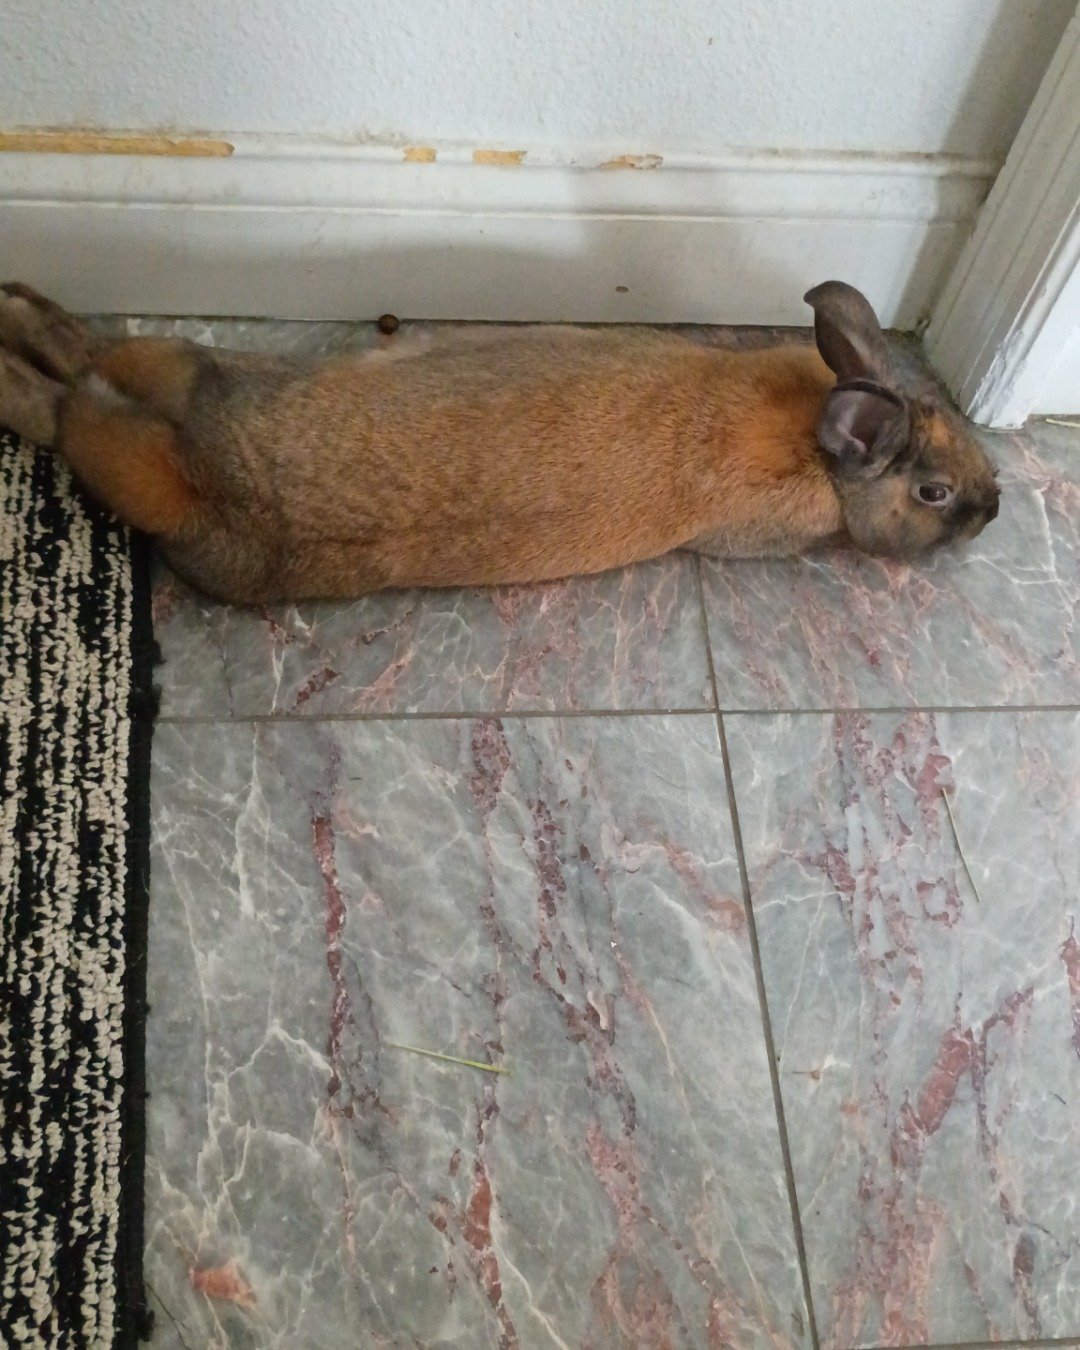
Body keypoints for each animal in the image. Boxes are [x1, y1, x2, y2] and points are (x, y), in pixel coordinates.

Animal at [0, 279, 999, 604]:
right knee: (68, 387)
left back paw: (19, 316)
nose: (994, 510)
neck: (815, 442)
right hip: (198, 372)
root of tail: (199, 483)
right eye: (935, 493)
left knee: (76, 385)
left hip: (167, 376)